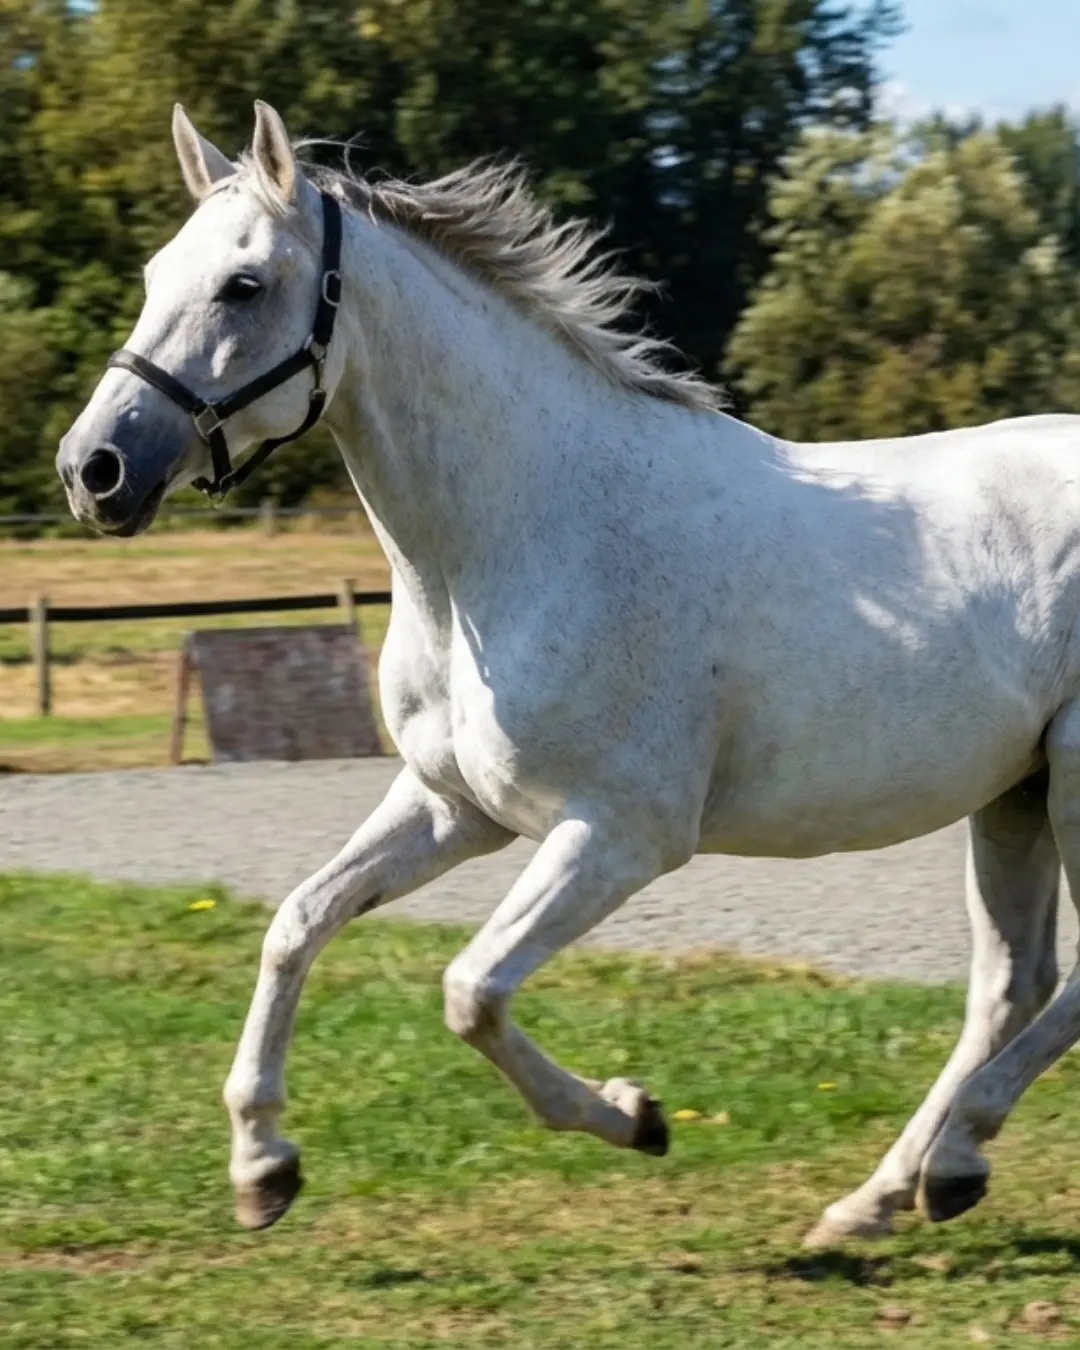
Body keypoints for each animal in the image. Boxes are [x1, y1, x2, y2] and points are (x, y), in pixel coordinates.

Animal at [58, 100, 1080, 1246]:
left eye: (243, 284)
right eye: (154, 273)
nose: (92, 470)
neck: (524, 540)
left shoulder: (620, 835)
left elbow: (470, 991)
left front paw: (636, 1116)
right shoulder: (454, 805)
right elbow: (296, 923)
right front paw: (262, 1166)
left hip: (1071, 779)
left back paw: (949, 1161)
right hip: (1014, 793)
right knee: (1009, 983)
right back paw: (885, 1196)